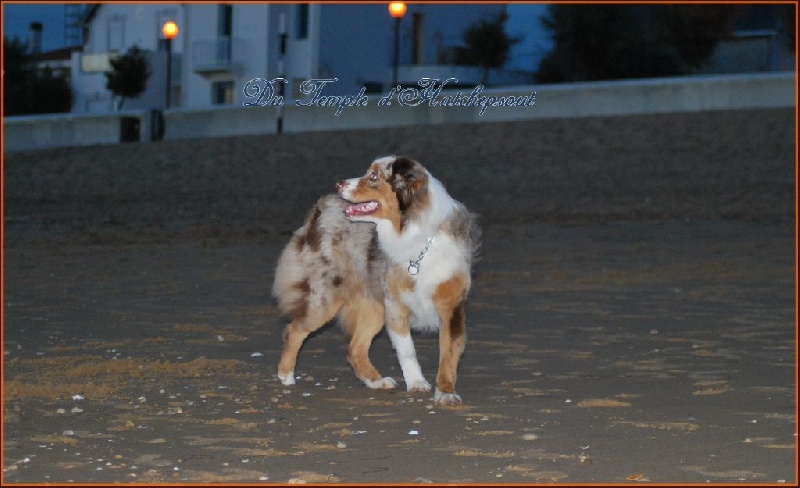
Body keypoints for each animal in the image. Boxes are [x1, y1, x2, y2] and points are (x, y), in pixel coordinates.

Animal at [272, 155, 478, 404]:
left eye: (373, 176)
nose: (338, 184)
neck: (415, 235)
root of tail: (322, 206)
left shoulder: (451, 306)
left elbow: (449, 353)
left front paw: (446, 392)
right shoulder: (396, 305)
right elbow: (407, 350)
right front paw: (417, 383)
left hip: (373, 306)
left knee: (355, 348)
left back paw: (376, 381)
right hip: (326, 299)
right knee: (295, 329)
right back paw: (286, 376)